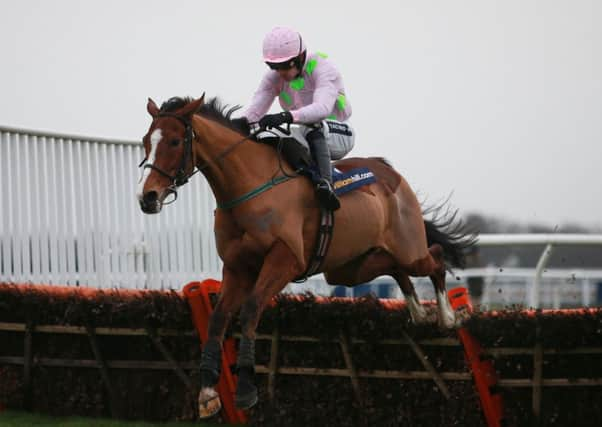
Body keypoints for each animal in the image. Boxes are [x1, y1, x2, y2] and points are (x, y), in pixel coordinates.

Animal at [135, 93, 474, 418]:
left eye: (175, 141)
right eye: (146, 140)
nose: (146, 197)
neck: (250, 187)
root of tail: (392, 174)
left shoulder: (284, 261)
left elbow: (251, 309)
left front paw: (245, 390)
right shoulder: (236, 267)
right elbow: (218, 318)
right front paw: (208, 393)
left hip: (408, 249)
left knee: (435, 258)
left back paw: (449, 316)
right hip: (350, 267)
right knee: (395, 267)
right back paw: (419, 312)